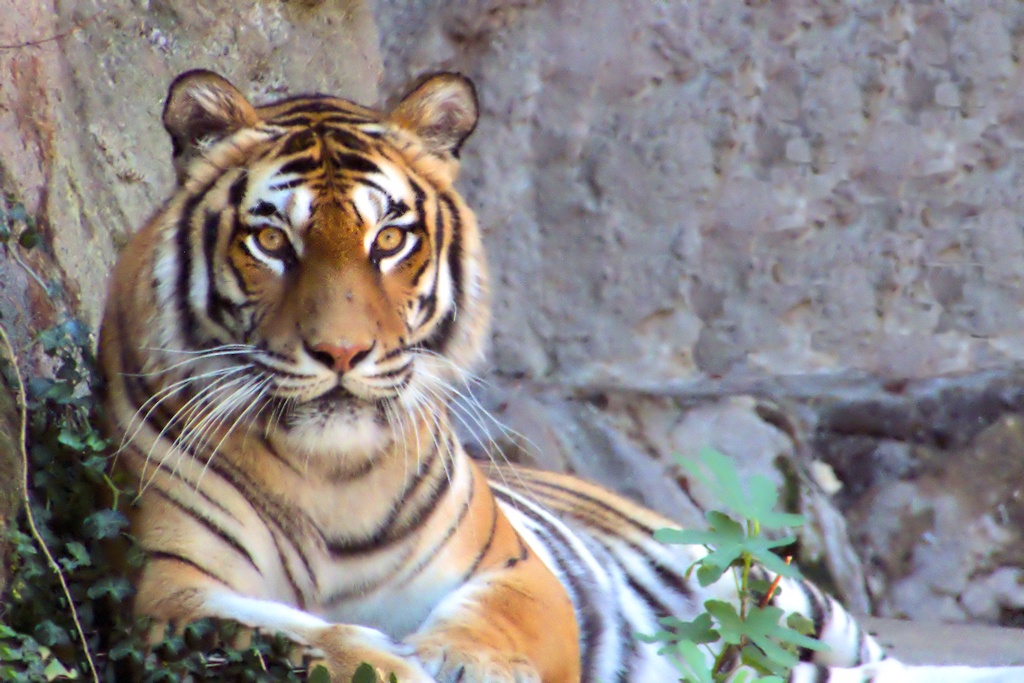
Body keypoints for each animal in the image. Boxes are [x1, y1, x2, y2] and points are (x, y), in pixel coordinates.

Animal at [97, 68, 1024, 683]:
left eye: (388, 239)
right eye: (271, 241)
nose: (342, 354)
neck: (332, 472)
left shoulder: (510, 565)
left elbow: (506, 620)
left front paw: (465, 662)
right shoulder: (173, 588)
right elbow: (297, 633)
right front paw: (386, 662)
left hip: (773, 591)